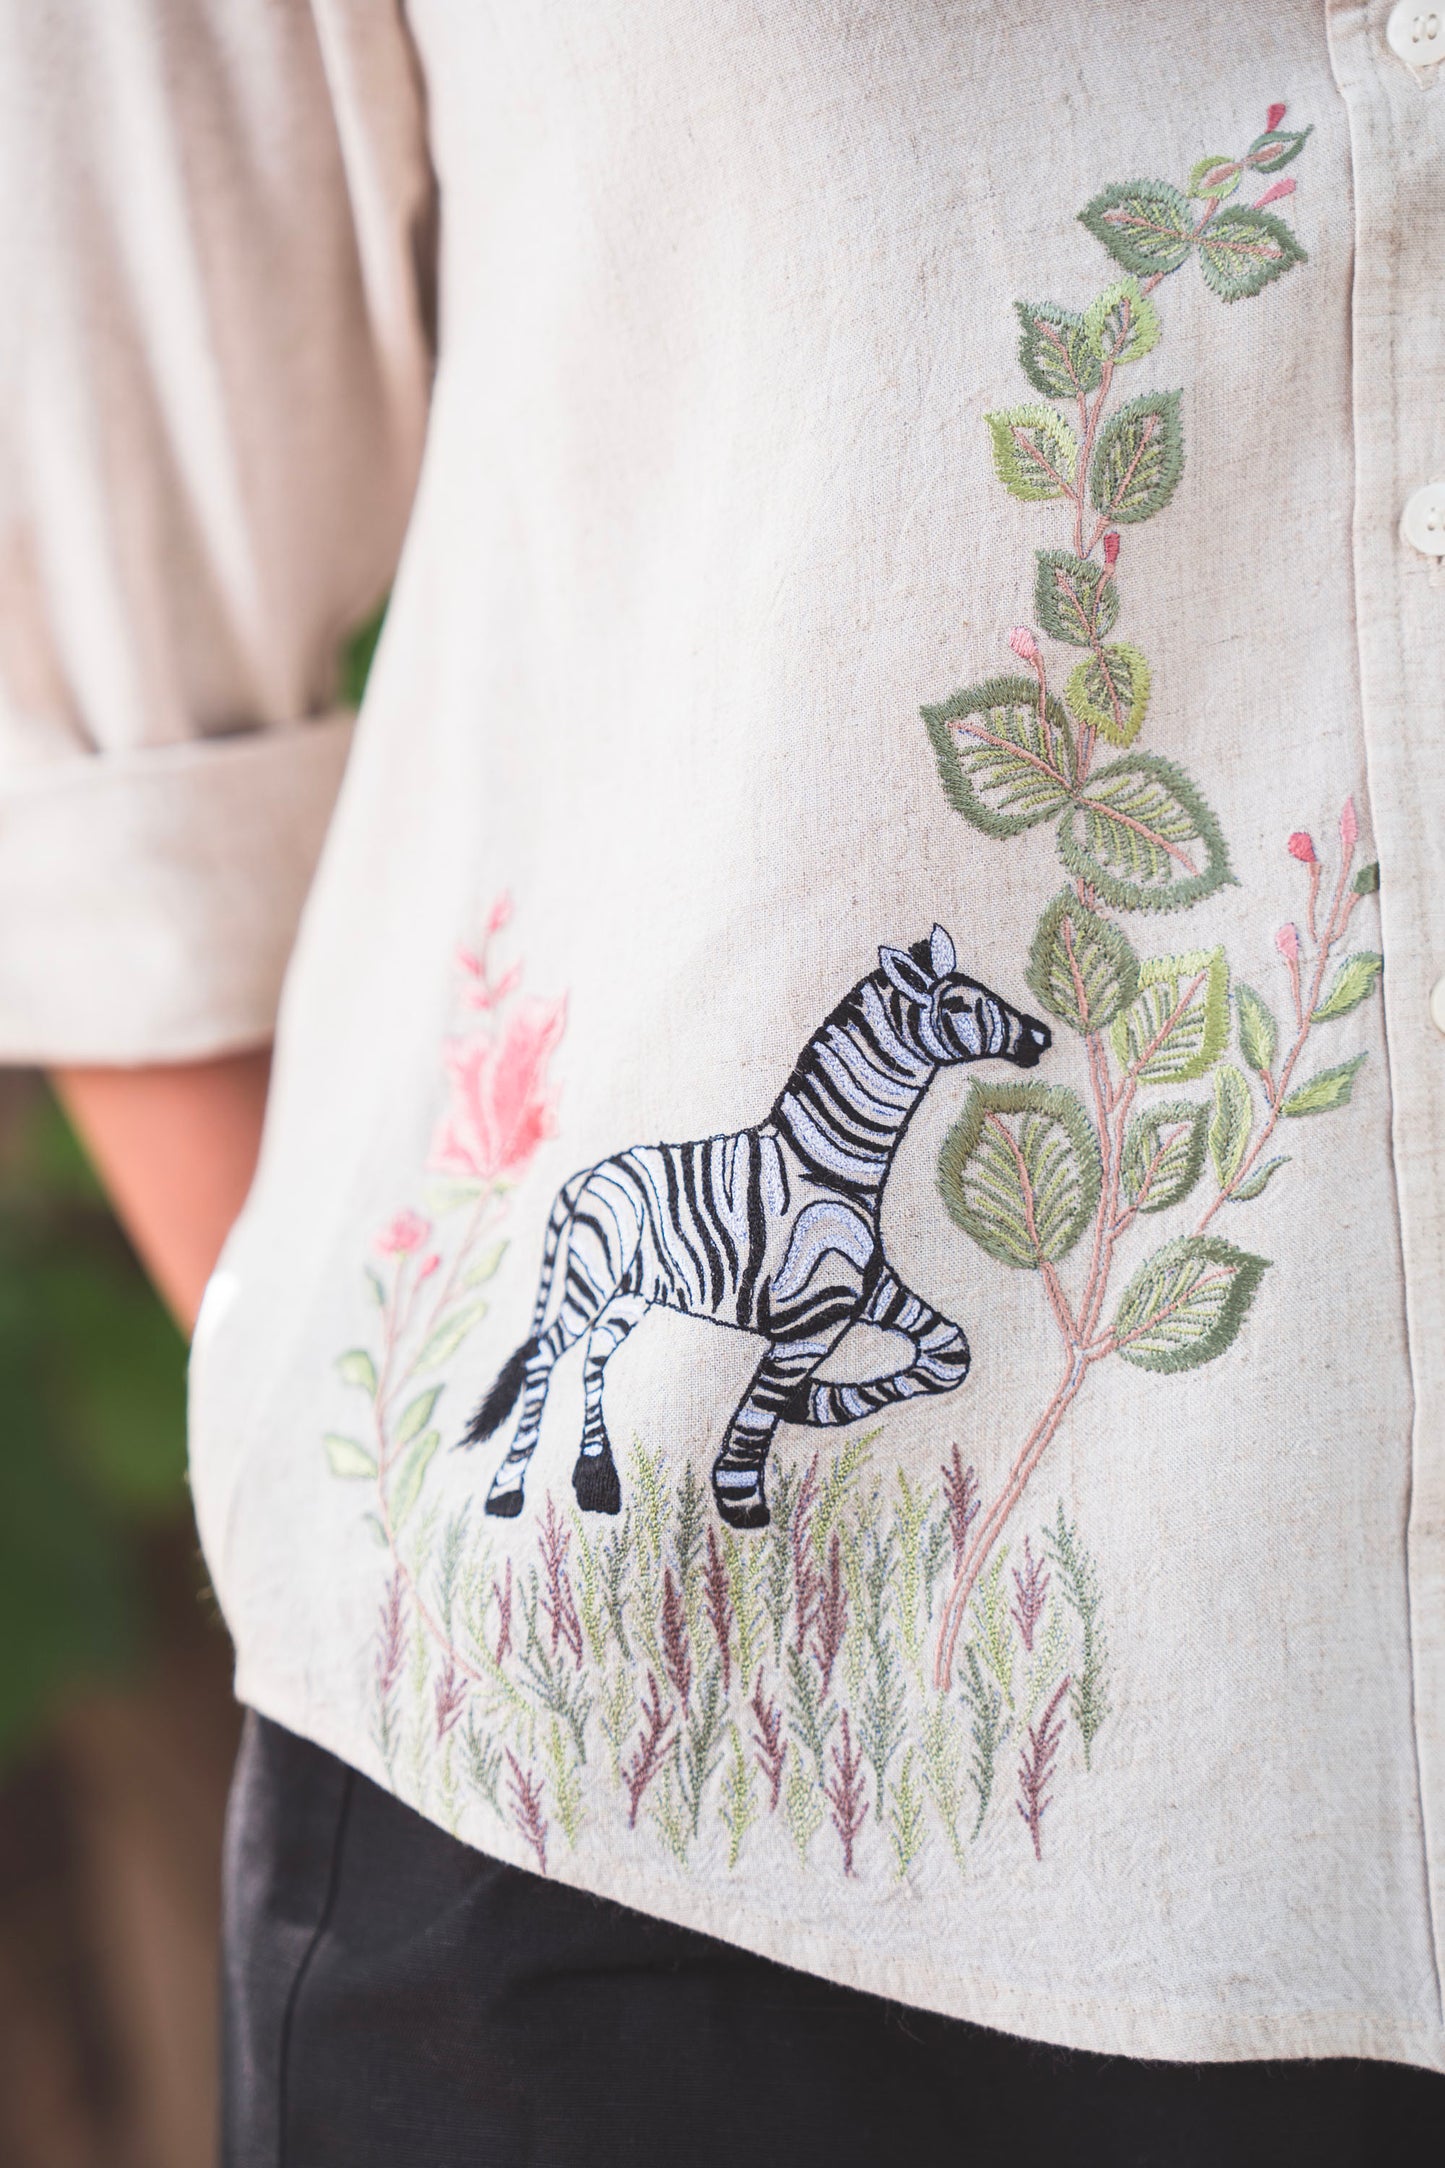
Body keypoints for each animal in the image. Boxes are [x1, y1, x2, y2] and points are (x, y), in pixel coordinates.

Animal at [465, 927, 1052, 1526]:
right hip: (592, 1276)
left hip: (636, 1291)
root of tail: (592, 1171)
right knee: (544, 1357)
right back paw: (506, 1491)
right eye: (957, 1004)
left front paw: (812, 1404)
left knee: (594, 1355)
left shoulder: (865, 1288)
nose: (1042, 1035)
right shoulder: (811, 1314)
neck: (832, 1165)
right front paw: (741, 1492)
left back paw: (595, 1480)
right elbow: (760, 1406)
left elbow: (949, 1352)